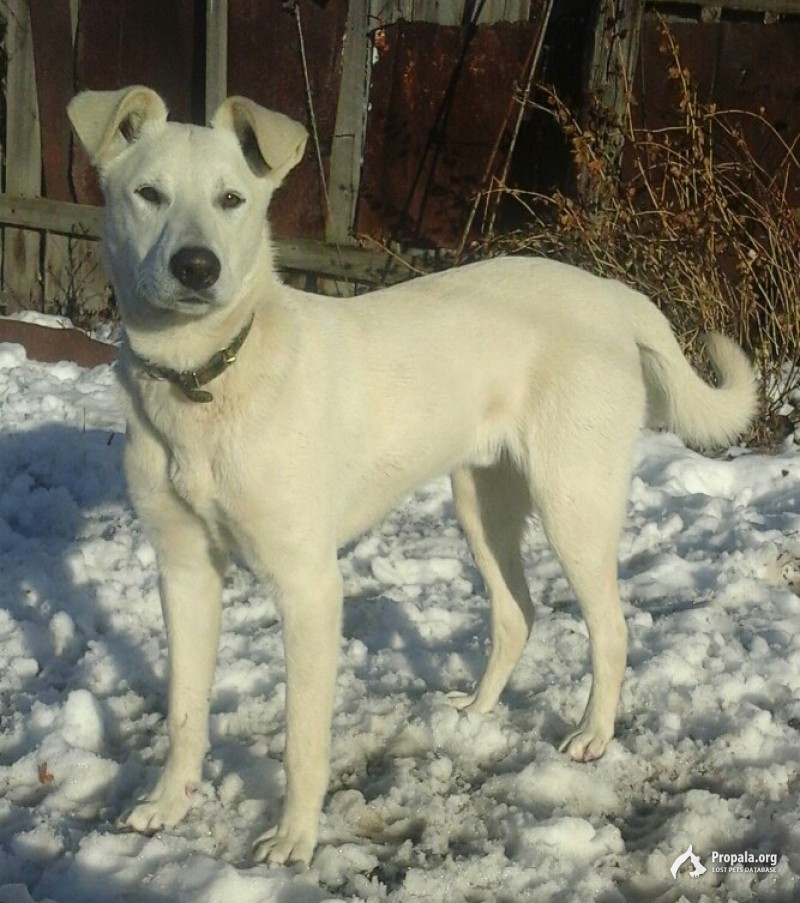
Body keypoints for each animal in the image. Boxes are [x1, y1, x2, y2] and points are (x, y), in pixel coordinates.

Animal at [67, 86, 756, 868]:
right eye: (148, 194)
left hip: (573, 503)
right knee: (517, 614)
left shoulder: (309, 584)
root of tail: (613, 293)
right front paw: (169, 804)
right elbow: (185, 708)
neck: (205, 382)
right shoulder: (184, 570)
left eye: (232, 199)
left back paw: (592, 735)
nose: (195, 267)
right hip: (480, 502)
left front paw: (294, 839)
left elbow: (303, 735)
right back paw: (477, 711)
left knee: (609, 628)